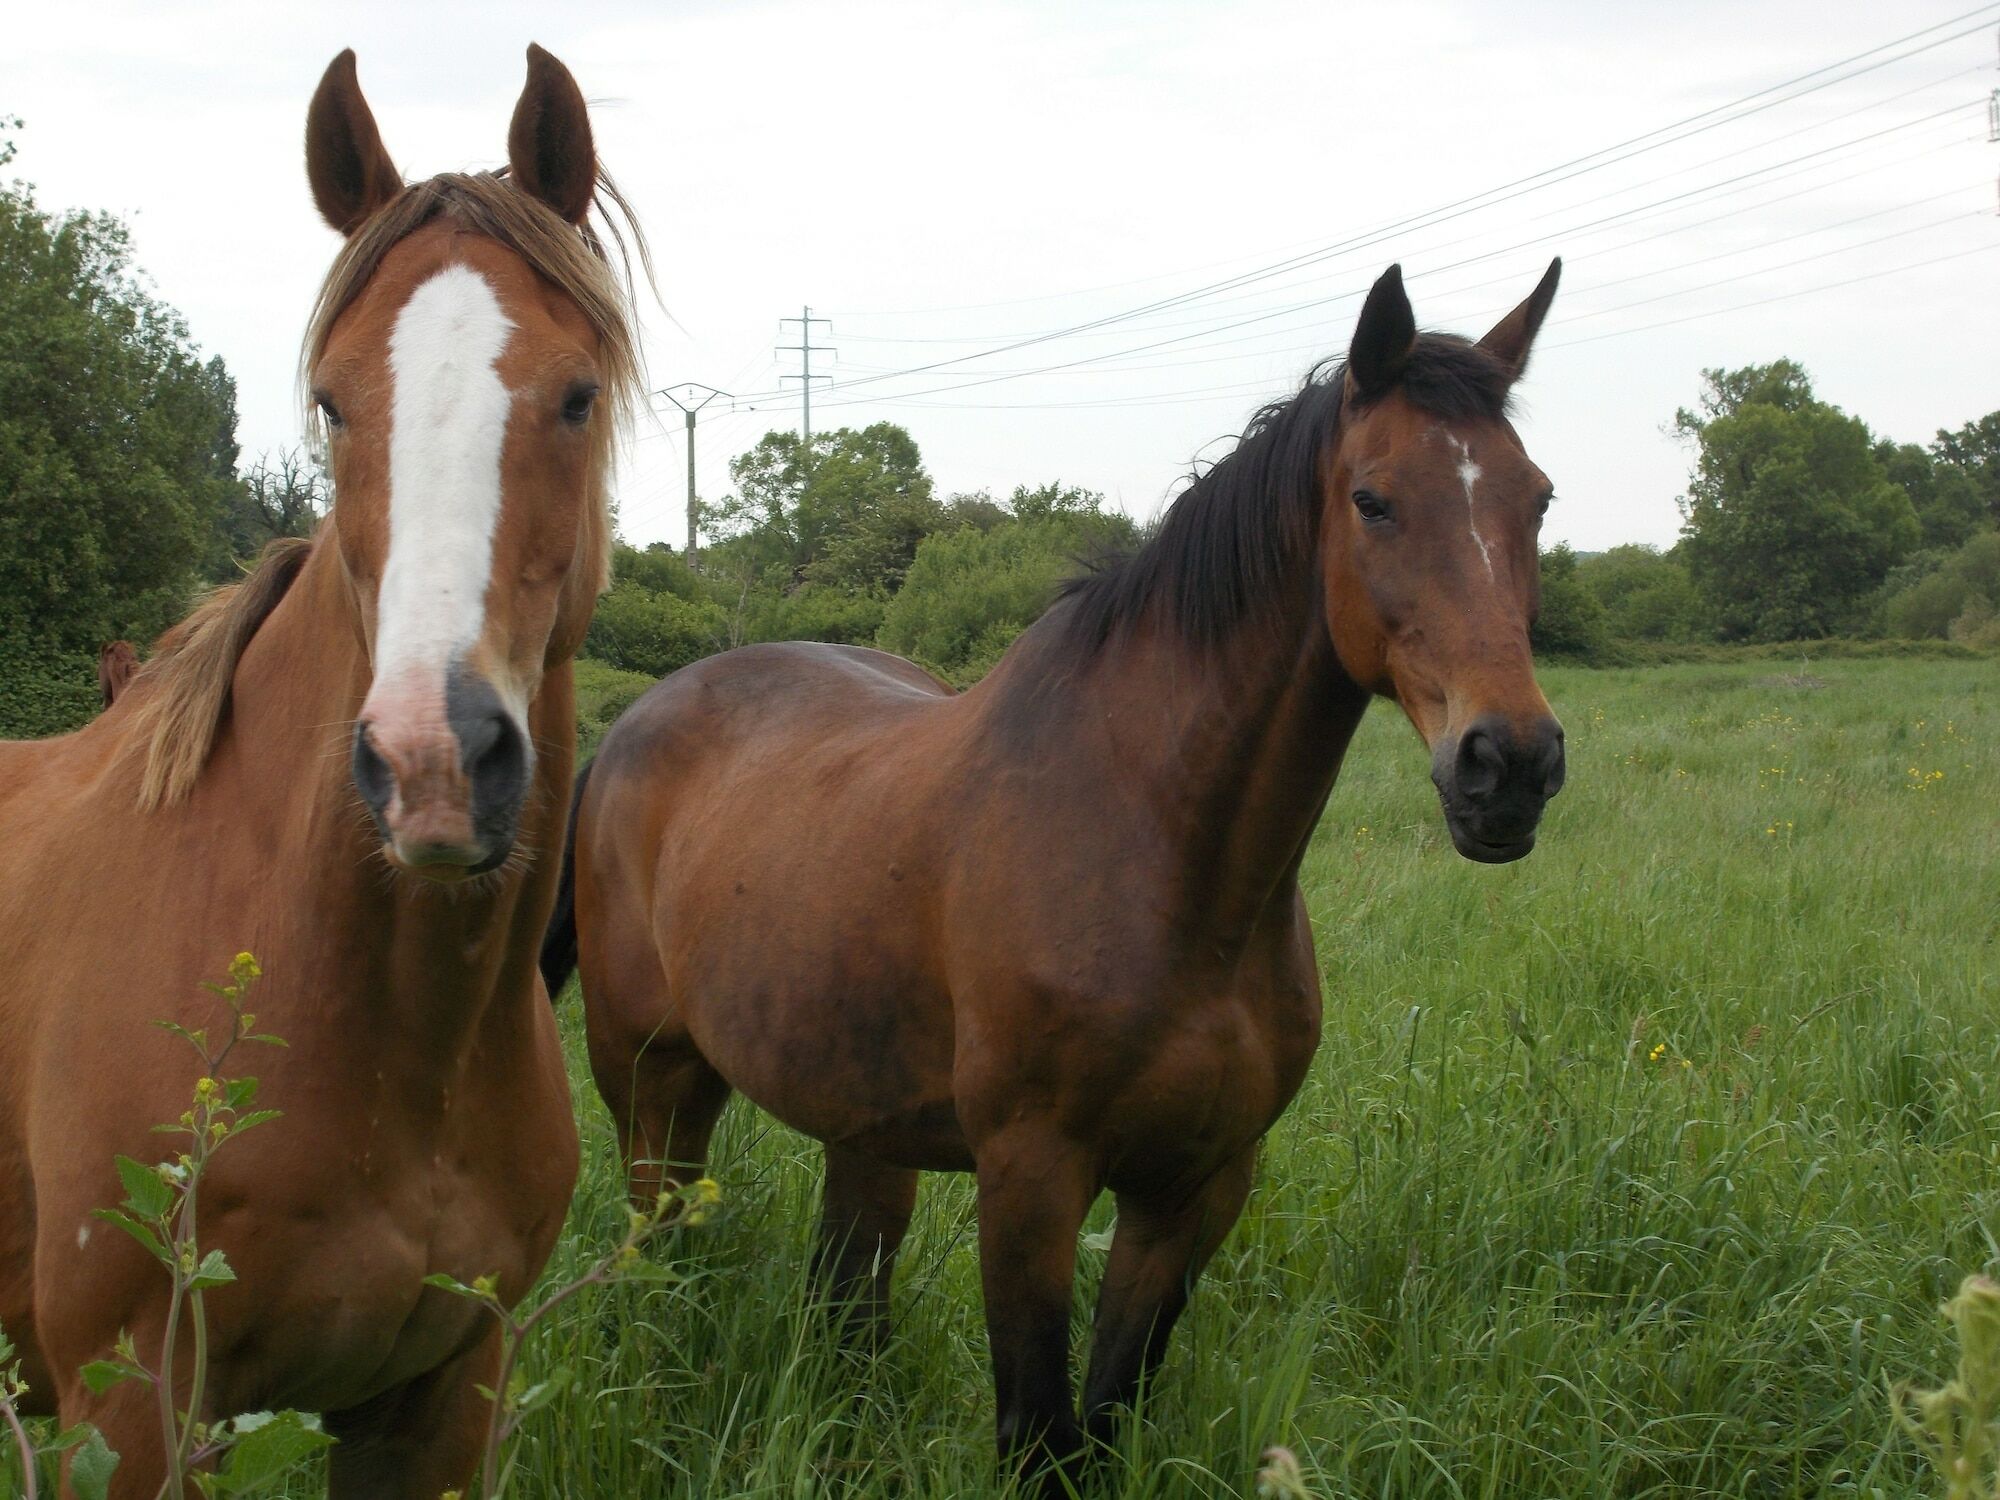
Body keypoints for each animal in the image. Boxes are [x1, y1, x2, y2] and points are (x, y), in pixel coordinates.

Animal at [544, 262, 1560, 1496]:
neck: (1167, 863)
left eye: (1536, 498)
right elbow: (1039, 1432)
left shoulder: (1196, 1188)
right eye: (1372, 500)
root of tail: (630, 726)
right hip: (651, 1077)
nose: (1509, 766)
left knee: (843, 1303)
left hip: (855, 1121)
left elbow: (1110, 1413)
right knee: (656, 1253)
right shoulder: (1030, 1181)